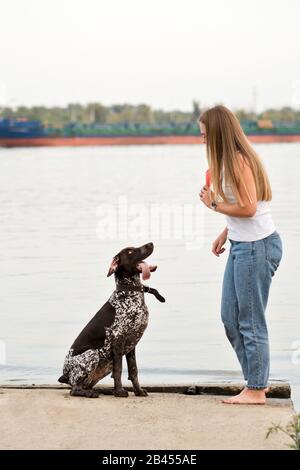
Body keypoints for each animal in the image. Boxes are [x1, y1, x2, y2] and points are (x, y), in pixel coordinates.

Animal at [57, 242, 165, 396]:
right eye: (130, 251)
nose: (151, 243)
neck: (129, 293)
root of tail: (65, 374)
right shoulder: (118, 341)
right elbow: (119, 369)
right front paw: (119, 392)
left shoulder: (131, 344)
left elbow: (133, 371)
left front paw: (138, 391)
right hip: (91, 354)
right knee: (74, 389)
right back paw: (92, 393)